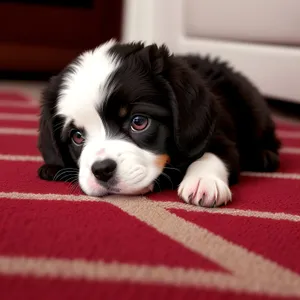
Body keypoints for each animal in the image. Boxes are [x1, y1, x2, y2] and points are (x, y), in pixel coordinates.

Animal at [37, 39, 282, 206]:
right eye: (77, 136)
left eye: (139, 122)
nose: (102, 170)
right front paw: (53, 167)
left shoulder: (217, 132)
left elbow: (215, 154)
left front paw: (203, 181)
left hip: (254, 109)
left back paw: (263, 156)